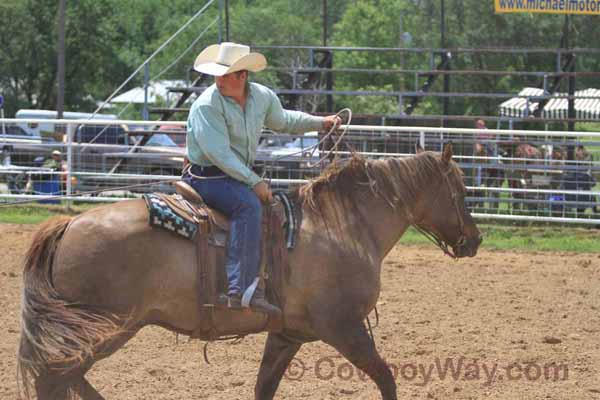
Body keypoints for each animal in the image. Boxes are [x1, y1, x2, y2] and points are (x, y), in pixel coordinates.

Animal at [16, 144, 480, 400]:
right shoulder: (344, 327)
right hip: (103, 329)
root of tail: (68, 225)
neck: (343, 226)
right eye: (460, 191)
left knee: (65, 380)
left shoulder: (287, 334)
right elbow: (386, 379)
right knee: (54, 381)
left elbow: (264, 388)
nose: (474, 240)